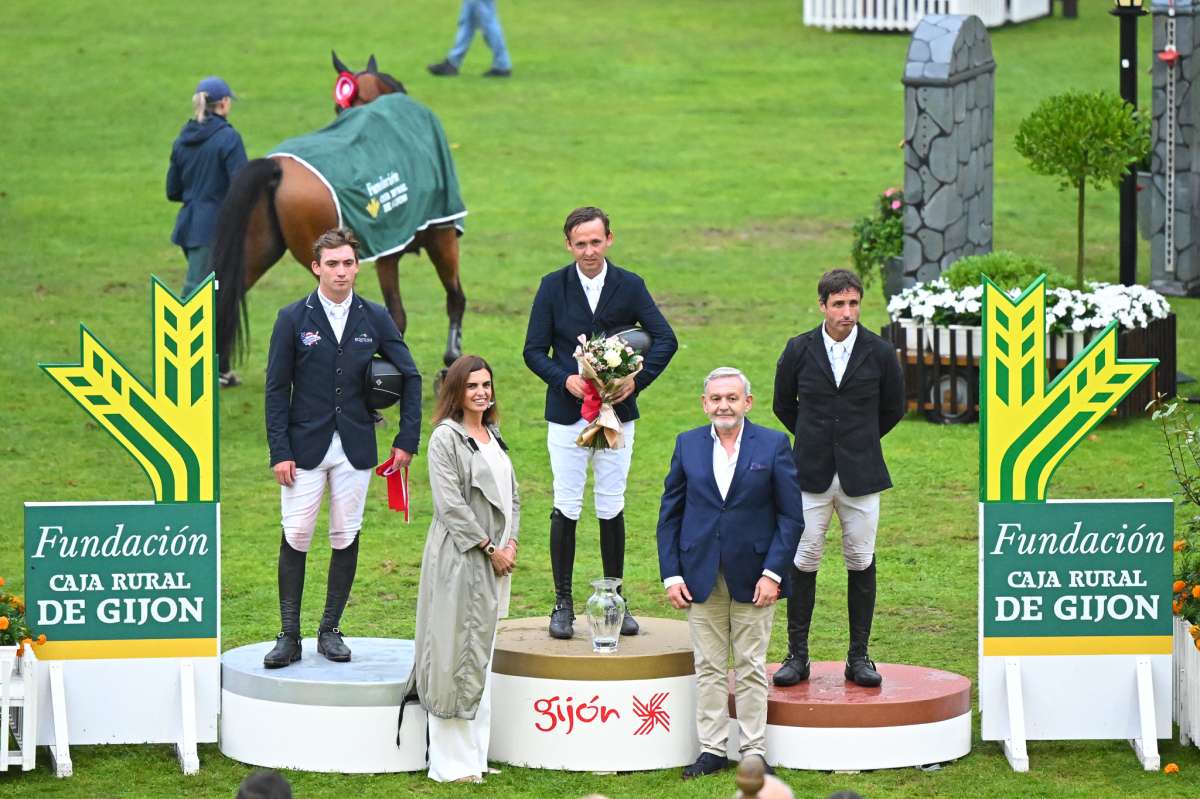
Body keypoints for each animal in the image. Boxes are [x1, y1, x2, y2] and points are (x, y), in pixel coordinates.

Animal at [211, 52, 463, 383]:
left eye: (338, 108)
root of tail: (278, 166)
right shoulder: (433, 235)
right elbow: (436, 303)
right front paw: (451, 358)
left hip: (257, 250)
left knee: (226, 296)